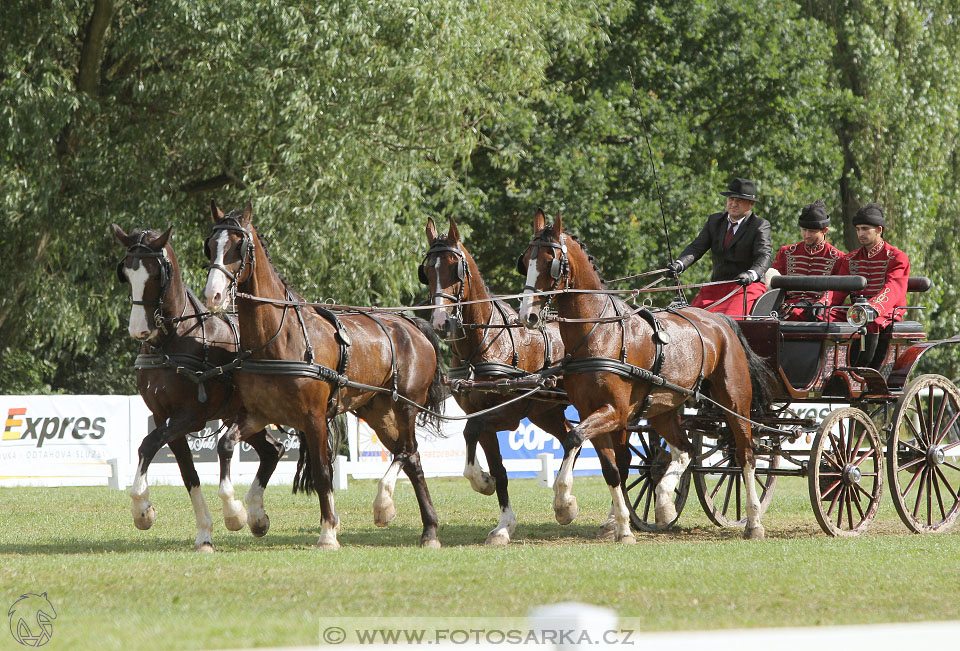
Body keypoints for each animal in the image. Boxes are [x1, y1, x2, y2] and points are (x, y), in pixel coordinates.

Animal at [113, 224, 284, 552]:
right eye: (126, 273)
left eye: (156, 274)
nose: (139, 330)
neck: (173, 342)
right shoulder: (165, 417)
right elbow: (187, 472)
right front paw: (205, 533)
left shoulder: (191, 416)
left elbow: (148, 444)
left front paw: (142, 509)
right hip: (244, 416)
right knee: (273, 450)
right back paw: (256, 517)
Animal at [206, 202, 446, 552]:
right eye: (210, 246)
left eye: (239, 247)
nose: (212, 295)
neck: (278, 339)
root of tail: (412, 325)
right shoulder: (257, 413)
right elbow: (225, 446)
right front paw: (240, 513)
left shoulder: (314, 417)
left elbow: (322, 472)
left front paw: (329, 532)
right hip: (377, 411)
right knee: (412, 457)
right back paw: (428, 529)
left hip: (405, 405)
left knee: (406, 450)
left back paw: (384, 505)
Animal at [422, 215, 580, 544]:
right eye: (427, 271)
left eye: (455, 268)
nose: (441, 323)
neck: (483, 342)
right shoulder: (481, 415)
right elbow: (500, 469)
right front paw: (504, 524)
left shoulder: (504, 415)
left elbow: (470, 431)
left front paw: (483, 482)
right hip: (546, 412)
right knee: (573, 437)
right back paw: (568, 504)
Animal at [516, 211, 772, 544]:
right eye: (525, 261)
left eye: (551, 261)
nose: (528, 316)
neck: (599, 331)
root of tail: (720, 320)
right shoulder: (591, 412)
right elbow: (611, 468)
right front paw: (621, 526)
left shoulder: (615, 412)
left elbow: (576, 439)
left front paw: (565, 505)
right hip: (664, 408)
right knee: (685, 450)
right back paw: (663, 501)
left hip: (735, 402)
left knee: (745, 455)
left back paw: (754, 522)